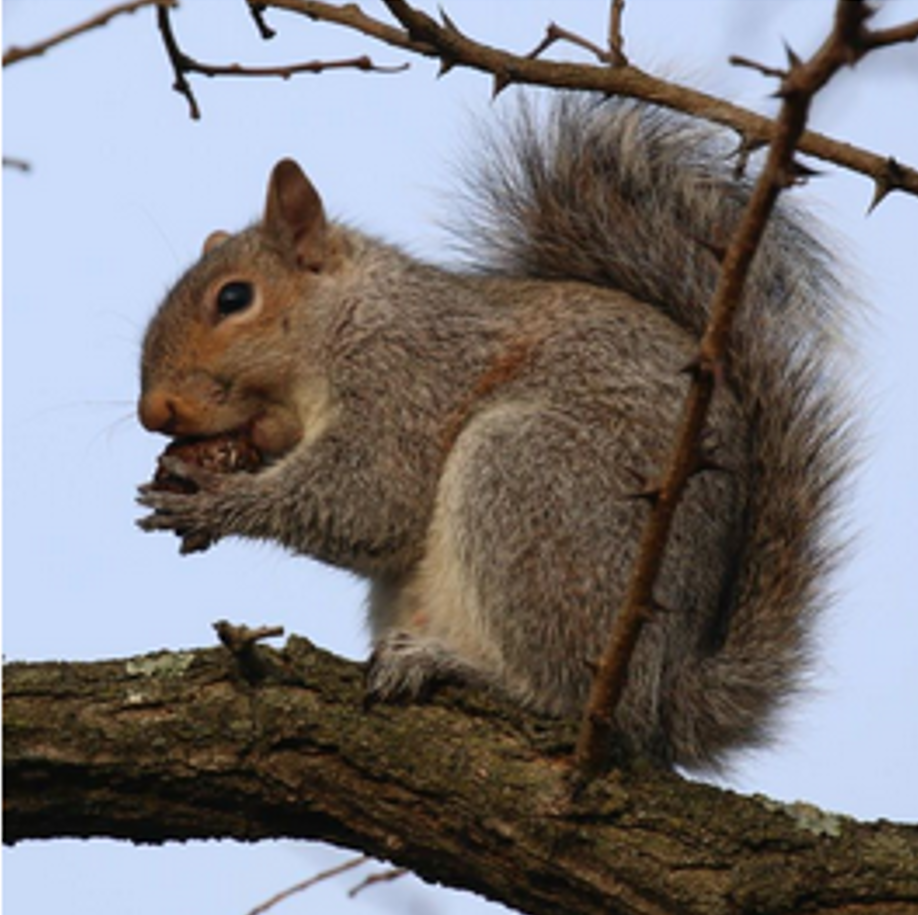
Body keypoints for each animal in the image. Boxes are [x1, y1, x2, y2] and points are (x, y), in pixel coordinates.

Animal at [137, 96, 856, 768]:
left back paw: (453, 665)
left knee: (569, 695)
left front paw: (216, 499)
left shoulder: (408, 377)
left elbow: (375, 500)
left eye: (234, 298)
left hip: (529, 484)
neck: (349, 315)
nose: (154, 412)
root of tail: (666, 690)